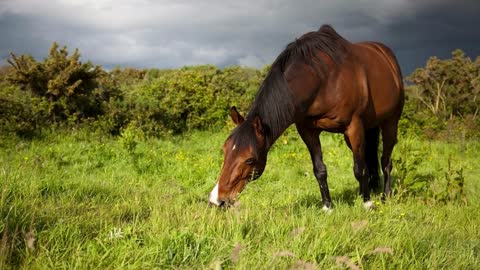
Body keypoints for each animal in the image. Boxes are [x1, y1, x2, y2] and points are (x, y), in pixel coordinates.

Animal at [208, 24, 404, 211]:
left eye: (249, 159)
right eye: (224, 150)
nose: (217, 200)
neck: (323, 79)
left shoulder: (354, 126)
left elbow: (359, 169)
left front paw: (367, 204)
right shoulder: (308, 130)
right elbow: (320, 169)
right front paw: (327, 207)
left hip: (389, 123)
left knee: (385, 161)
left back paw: (385, 197)